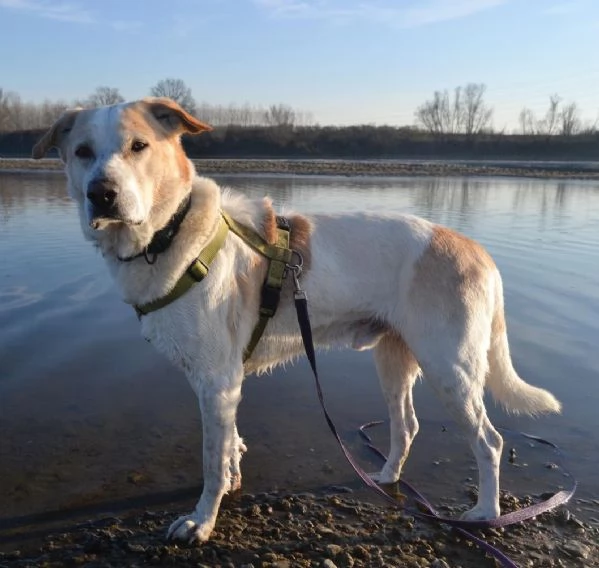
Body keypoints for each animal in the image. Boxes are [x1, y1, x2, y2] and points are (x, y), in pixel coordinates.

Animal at [32, 97, 564, 540]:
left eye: (138, 146)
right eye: (82, 152)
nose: (102, 194)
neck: (171, 234)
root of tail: (476, 250)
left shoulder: (216, 381)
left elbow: (210, 462)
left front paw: (201, 522)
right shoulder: (222, 384)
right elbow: (229, 446)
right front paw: (232, 478)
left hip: (450, 368)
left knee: (490, 441)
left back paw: (486, 513)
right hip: (394, 362)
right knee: (407, 425)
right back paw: (387, 477)